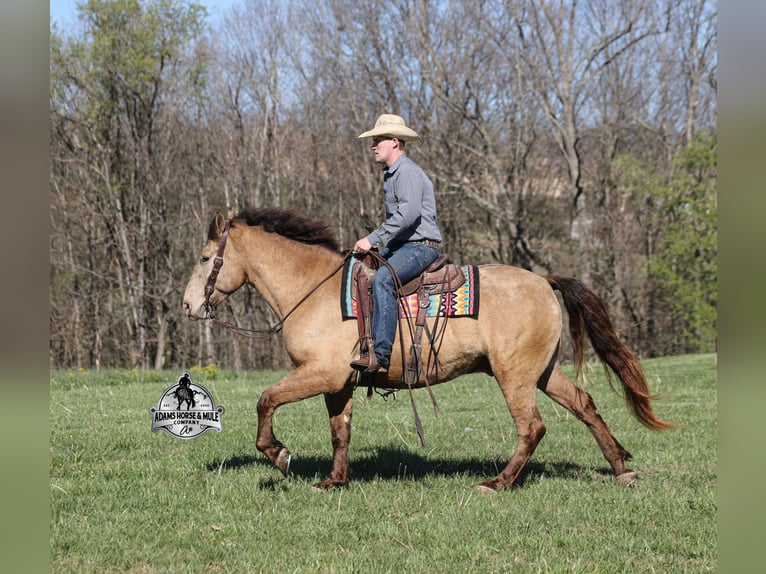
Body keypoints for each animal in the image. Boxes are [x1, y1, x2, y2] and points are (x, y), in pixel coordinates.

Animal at [182, 207, 672, 492]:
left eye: (205, 258)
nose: (188, 305)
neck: (314, 290)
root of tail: (544, 280)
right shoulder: (339, 382)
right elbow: (340, 431)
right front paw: (334, 480)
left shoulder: (321, 373)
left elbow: (266, 400)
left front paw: (279, 455)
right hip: (544, 371)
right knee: (585, 405)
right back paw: (620, 467)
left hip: (515, 377)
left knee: (532, 428)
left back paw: (497, 482)